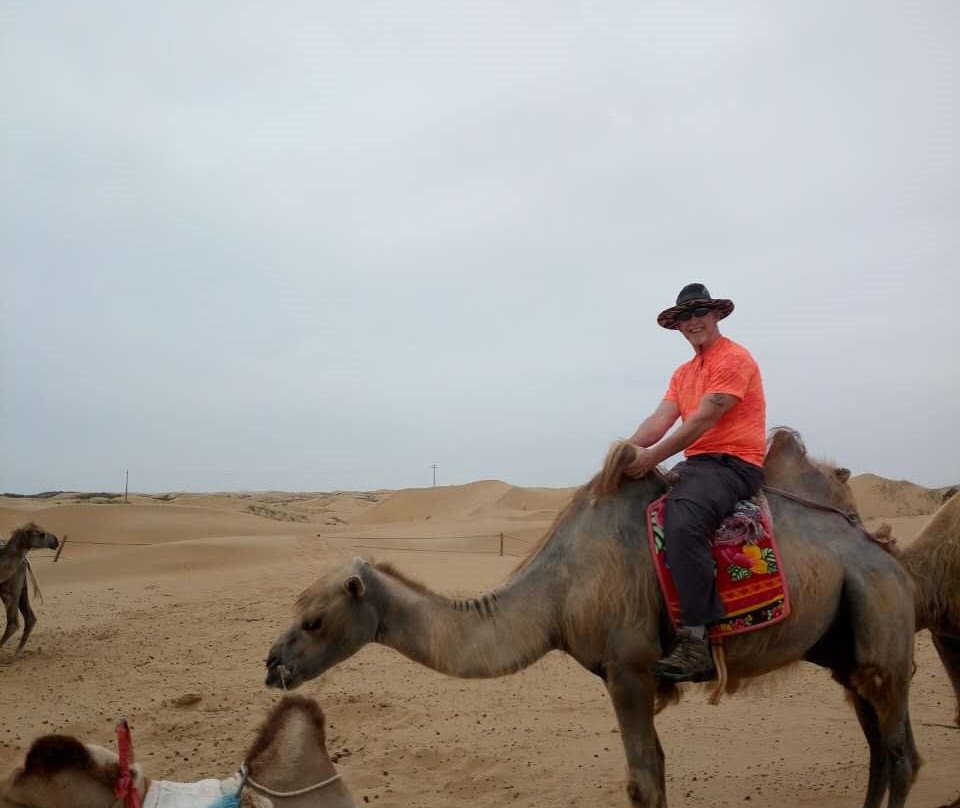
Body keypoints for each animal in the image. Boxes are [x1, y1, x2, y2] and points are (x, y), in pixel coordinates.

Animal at [0, 524, 58, 656]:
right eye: (41, 534)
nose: (56, 541)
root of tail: (25, 560)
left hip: (13, 587)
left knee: (14, 622)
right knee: (28, 617)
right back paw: (17, 652)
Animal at [266, 432, 920, 808]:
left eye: (315, 621)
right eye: (295, 608)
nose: (273, 666)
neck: (557, 591)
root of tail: (890, 556)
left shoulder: (628, 668)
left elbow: (645, 780)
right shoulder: (623, 674)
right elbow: (652, 774)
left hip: (880, 622)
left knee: (900, 758)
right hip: (848, 650)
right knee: (881, 751)